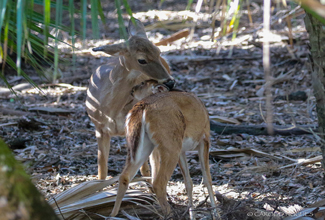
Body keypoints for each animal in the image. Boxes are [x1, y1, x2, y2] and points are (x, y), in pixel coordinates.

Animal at [85, 18, 173, 180]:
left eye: (158, 51)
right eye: (141, 60)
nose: (170, 82)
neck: (110, 110)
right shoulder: (99, 129)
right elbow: (102, 169)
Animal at [110, 80, 216, 218]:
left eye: (142, 83)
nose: (132, 90)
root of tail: (141, 107)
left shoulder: (182, 149)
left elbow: (189, 182)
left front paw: (193, 215)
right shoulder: (204, 139)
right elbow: (207, 179)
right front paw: (216, 215)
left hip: (144, 145)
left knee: (125, 176)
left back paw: (113, 215)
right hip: (170, 145)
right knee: (159, 182)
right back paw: (170, 214)